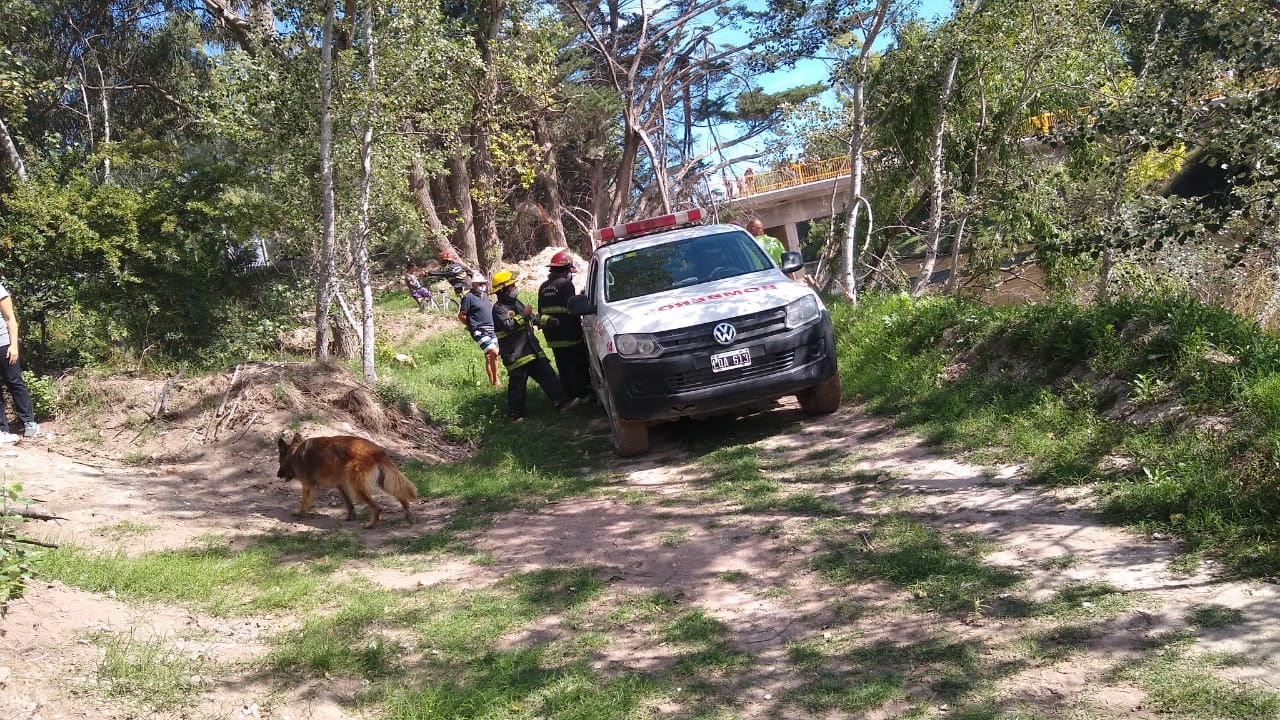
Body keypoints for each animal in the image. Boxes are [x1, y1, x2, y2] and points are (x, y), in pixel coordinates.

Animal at [277, 430, 417, 527]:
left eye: (279, 462)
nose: (277, 475)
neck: (295, 453)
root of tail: (376, 451)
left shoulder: (307, 486)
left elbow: (304, 501)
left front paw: (299, 512)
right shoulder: (341, 485)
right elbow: (349, 504)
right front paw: (350, 517)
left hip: (357, 488)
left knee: (378, 507)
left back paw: (371, 525)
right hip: (382, 482)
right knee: (402, 497)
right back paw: (408, 516)